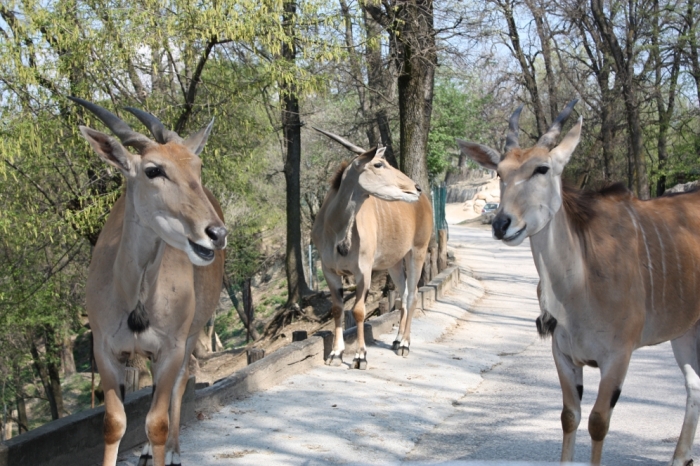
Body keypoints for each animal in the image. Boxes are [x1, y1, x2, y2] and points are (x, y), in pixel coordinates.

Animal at [70, 97, 227, 466]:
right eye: (153, 170)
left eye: (197, 166)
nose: (216, 233)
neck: (134, 298)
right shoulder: (106, 352)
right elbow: (114, 424)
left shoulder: (171, 348)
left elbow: (157, 423)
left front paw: (163, 448)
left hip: (191, 336)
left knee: (182, 382)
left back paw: (173, 451)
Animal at [312, 127, 432, 368]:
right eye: (378, 164)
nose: (415, 188)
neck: (336, 228)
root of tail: (425, 202)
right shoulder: (330, 272)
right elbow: (338, 309)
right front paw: (335, 353)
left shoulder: (363, 272)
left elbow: (358, 311)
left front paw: (360, 356)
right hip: (395, 263)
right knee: (404, 294)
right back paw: (397, 340)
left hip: (417, 251)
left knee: (413, 294)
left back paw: (405, 344)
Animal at [456, 97, 700, 462]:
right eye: (500, 173)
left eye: (542, 169)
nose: (501, 224)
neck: (579, 288)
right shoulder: (564, 355)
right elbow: (569, 417)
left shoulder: (618, 356)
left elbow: (598, 422)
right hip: (685, 333)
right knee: (694, 385)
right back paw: (680, 457)